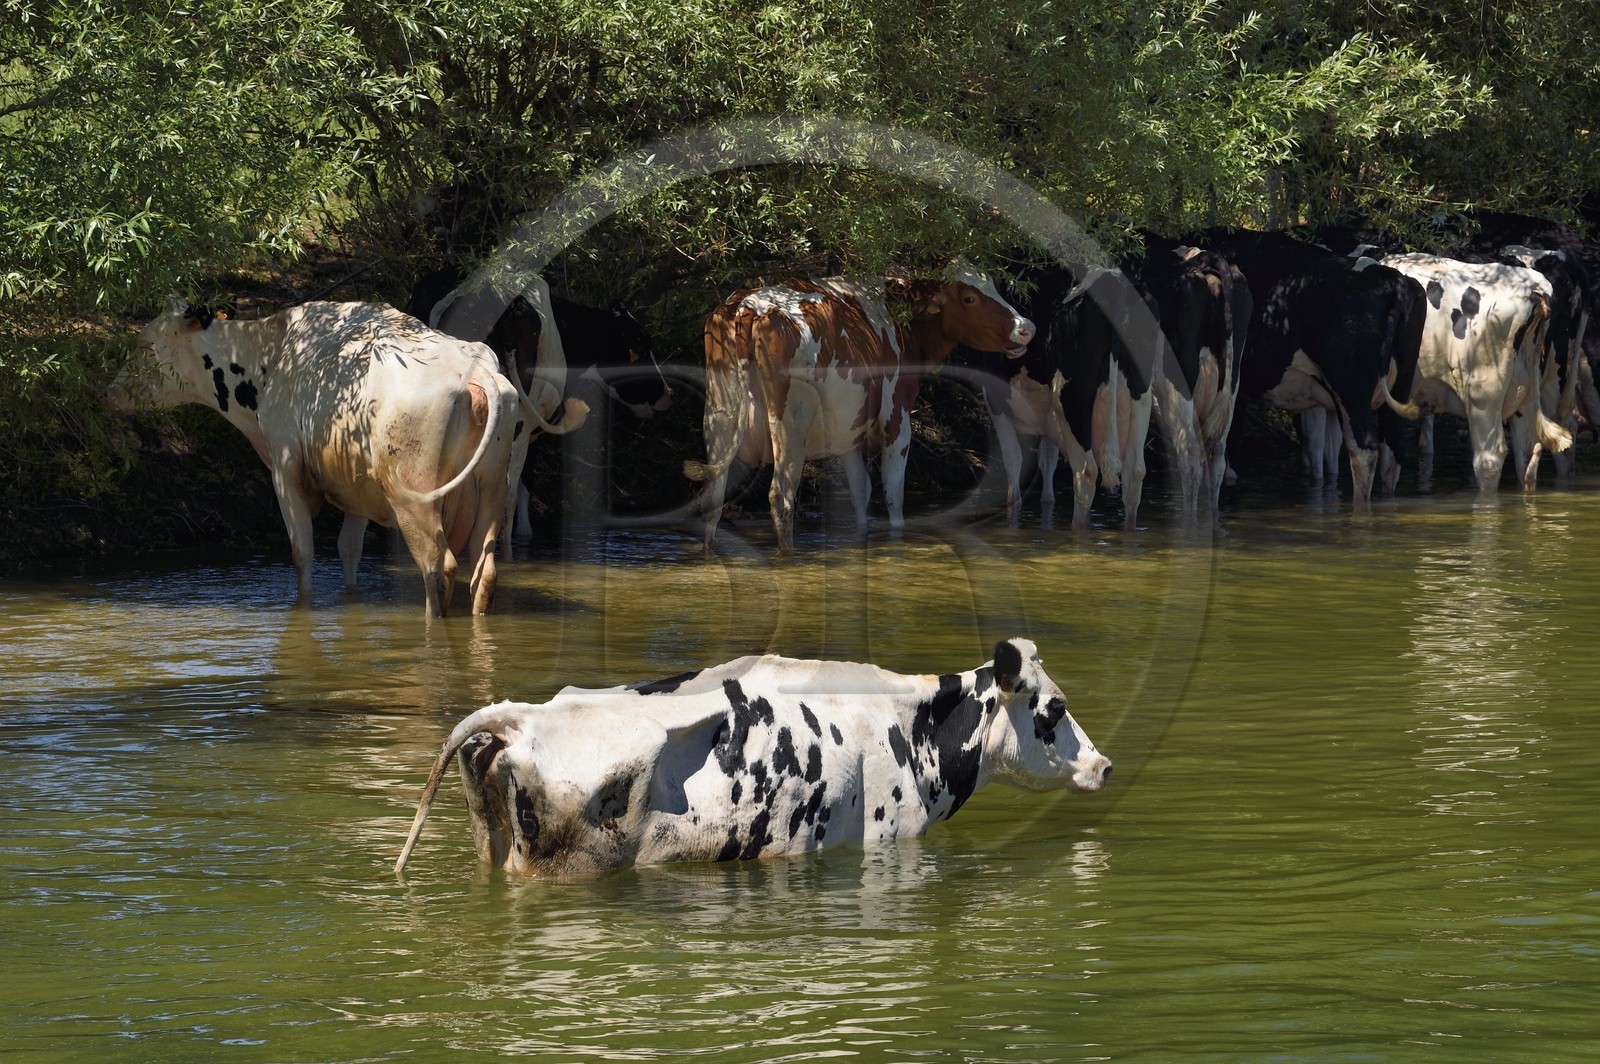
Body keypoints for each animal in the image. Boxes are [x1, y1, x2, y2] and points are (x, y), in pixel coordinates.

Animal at [107, 299, 521, 617]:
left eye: (145, 344)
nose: (108, 391)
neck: (272, 354)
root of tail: (473, 368)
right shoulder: (356, 484)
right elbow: (348, 550)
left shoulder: (284, 467)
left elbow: (302, 550)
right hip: (491, 489)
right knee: (484, 571)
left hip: (413, 500)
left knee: (438, 567)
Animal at [684, 267, 1034, 553]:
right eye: (969, 298)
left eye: (994, 286)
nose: (1027, 327)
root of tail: (751, 306)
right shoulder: (896, 418)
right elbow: (893, 492)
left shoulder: (848, 433)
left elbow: (860, 490)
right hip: (791, 420)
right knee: (780, 498)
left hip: (719, 414)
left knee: (713, 498)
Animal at [958, 266, 1161, 530]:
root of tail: (1114, 279)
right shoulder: (1048, 415)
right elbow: (1047, 462)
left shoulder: (995, 399)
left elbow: (1013, 460)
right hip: (1140, 394)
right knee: (1134, 473)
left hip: (1072, 399)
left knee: (1085, 473)